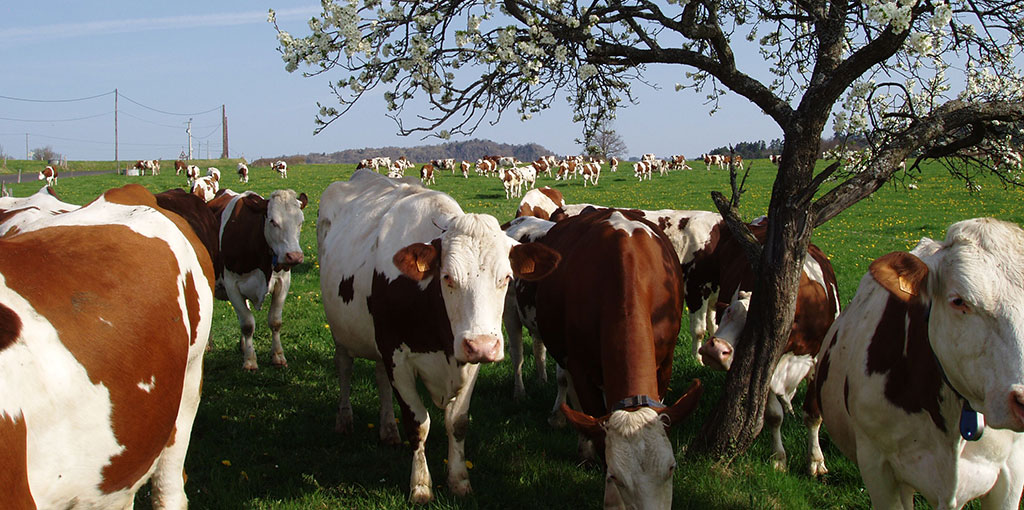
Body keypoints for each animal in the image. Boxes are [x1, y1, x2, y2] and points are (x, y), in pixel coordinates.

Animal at [205, 187, 305, 370]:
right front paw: (250, 361)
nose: (294, 256)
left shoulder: (283, 282)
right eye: (272, 221)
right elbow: (247, 324)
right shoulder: (232, 285)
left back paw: (243, 345)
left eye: (300, 221)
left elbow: (275, 321)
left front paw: (278, 356)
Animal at [319, 168, 561, 503]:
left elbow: (457, 423)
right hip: (342, 331)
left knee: (380, 377)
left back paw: (387, 430)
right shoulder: (398, 358)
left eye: (506, 277)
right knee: (344, 367)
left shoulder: (466, 361)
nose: (483, 345)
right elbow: (419, 424)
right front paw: (420, 486)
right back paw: (344, 420)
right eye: (447, 277)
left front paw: (459, 481)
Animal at [503, 206, 704, 510]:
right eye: (616, 477)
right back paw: (527, 397)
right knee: (521, 356)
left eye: (671, 468)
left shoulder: (665, 363)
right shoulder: (580, 366)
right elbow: (594, 422)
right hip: (515, 315)